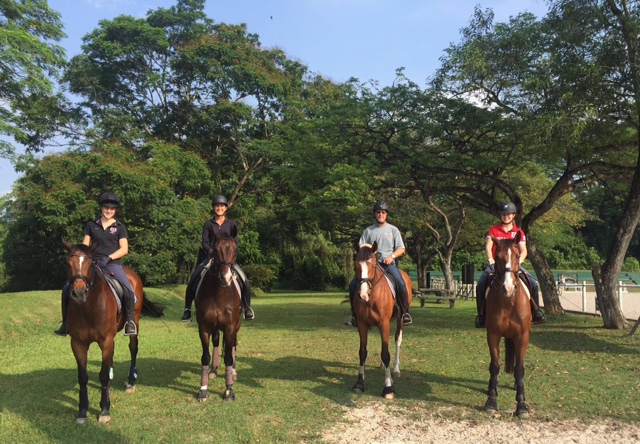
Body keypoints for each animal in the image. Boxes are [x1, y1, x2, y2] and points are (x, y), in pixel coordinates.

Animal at [62, 239, 165, 424]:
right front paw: (82, 411)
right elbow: (83, 376)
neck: (88, 308)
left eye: (90, 264)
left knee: (133, 349)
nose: (79, 294)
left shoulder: (106, 341)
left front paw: (104, 410)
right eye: (68, 264)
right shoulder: (78, 343)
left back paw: (131, 382)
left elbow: (103, 375)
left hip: (134, 323)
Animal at [194, 225, 241, 402]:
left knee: (233, 345)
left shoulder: (230, 327)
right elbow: (205, 357)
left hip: (236, 325)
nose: (225, 277)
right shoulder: (204, 328)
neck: (219, 293)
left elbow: (228, 357)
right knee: (216, 342)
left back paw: (233, 371)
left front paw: (229, 390)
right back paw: (213, 370)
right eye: (215, 250)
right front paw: (203, 389)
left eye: (235, 249)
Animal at [350, 243, 416, 398]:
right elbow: (363, 352)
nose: (363, 295)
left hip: (399, 320)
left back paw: (395, 370)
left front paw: (388, 387)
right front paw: (359, 383)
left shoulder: (384, 323)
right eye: (356, 265)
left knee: (397, 340)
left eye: (373, 266)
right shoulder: (361, 324)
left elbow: (386, 354)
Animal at [482, 234, 532, 418]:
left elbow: (519, 369)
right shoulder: (493, 335)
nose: (508, 287)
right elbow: (495, 366)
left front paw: (522, 406)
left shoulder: (522, 336)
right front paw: (491, 401)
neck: (509, 301)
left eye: (517, 256)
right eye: (497, 257)